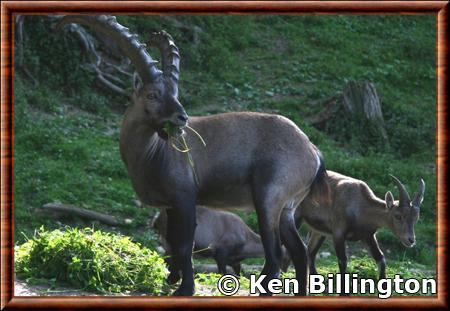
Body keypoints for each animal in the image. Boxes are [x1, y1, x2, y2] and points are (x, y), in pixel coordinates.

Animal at [153, 207, 290, 276]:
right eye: (286, 257)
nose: (284, 273)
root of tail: (157, 218)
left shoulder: (233, 261)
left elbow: (239, 274)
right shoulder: (220, 253)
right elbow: (222, 273)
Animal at [296, 172, 426, 286]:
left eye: (416, 218)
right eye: (398, 216)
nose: (411, 240)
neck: (360, 205)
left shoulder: (368, 236)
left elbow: (381, 258)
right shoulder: (338, 232)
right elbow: (343, 261)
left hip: (319, 231)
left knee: (310, 252)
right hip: (297, 218)